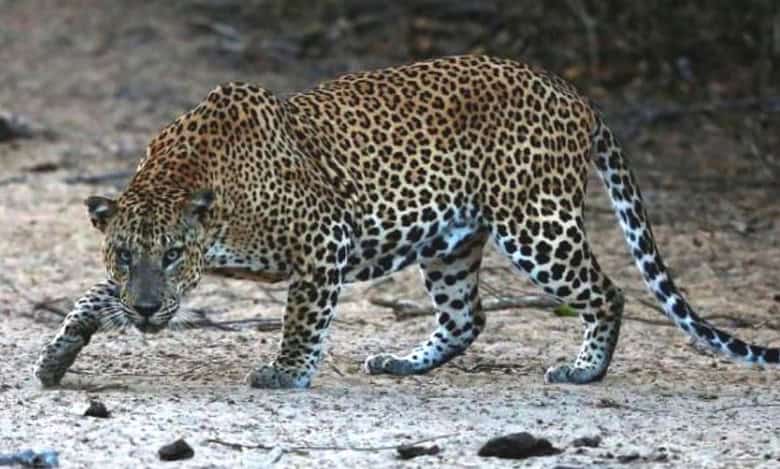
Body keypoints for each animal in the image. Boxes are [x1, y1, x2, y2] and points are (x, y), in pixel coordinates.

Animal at [34, 55, 780, 389]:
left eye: (174, 253)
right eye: (125, 255)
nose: (149, 309)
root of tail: (571, 92)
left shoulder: (323, 242)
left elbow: (302, 319)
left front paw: (287, 372)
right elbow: (92, 300)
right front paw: (58, 355)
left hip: (536, 222)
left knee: (609, 291)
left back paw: (584, 370)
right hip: (449, 242)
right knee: (466, 317)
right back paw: (403, 361)